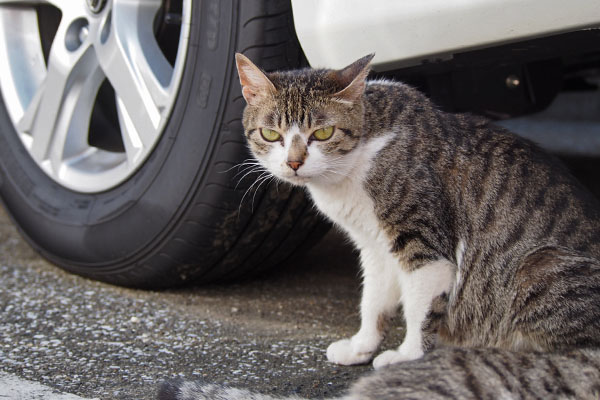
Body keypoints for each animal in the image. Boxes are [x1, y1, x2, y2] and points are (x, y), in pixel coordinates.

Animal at [157, 54, 600, 400]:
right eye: (271, 133)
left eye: (322, 132)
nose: (294, 163)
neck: (358, 157)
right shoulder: (374, 246)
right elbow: (372, 299)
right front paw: (361, 346)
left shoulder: (422, 243)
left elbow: (420, 307)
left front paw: (407, 357)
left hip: (536, 269)